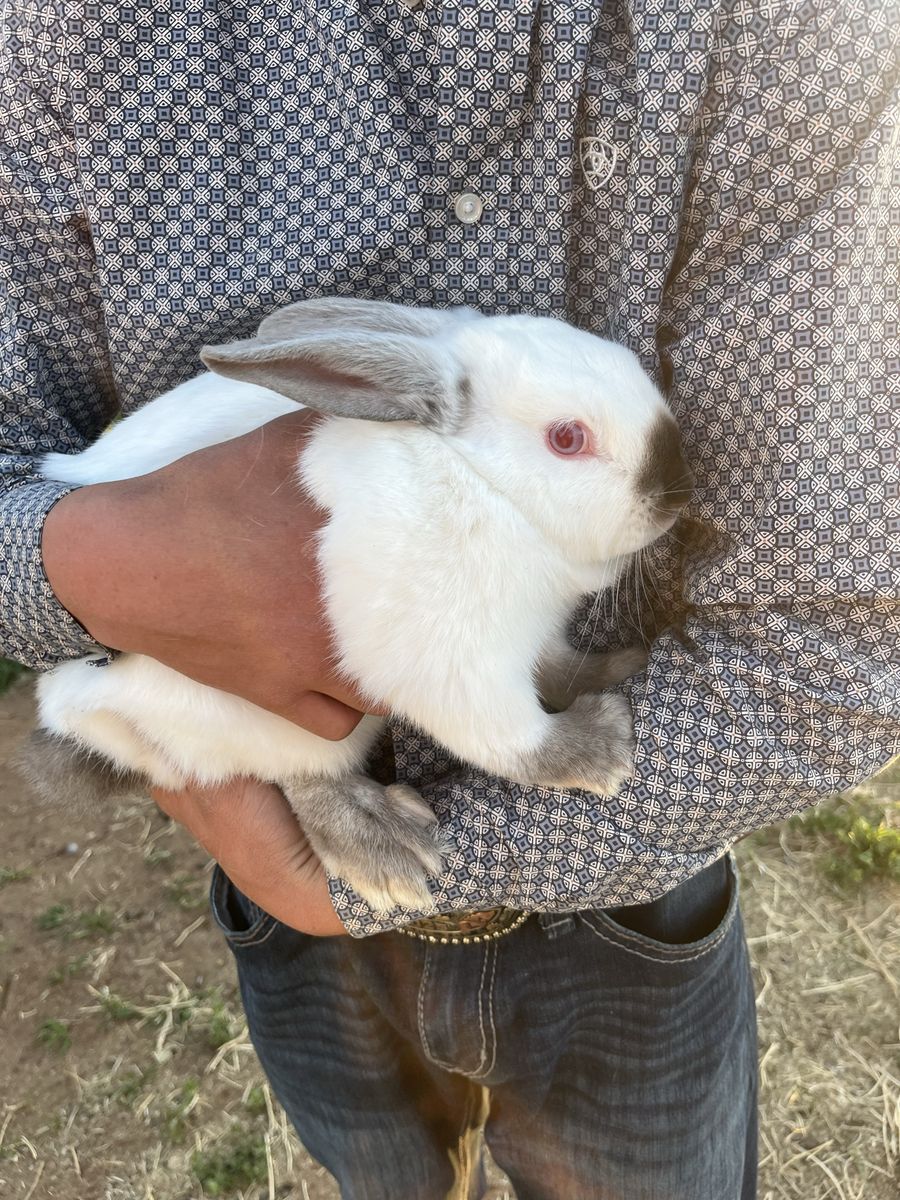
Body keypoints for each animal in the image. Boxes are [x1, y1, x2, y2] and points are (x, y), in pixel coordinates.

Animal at [21, 297, 692, 912]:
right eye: (567, 438)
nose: (677, 491)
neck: (484, 484)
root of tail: (70, 712)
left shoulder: (536, 632)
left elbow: (556, 668)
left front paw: (622, 666)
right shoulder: (450, 663)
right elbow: (512, 741)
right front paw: (603, 746)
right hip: (242, 717)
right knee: (297, 776)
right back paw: (387, 848)